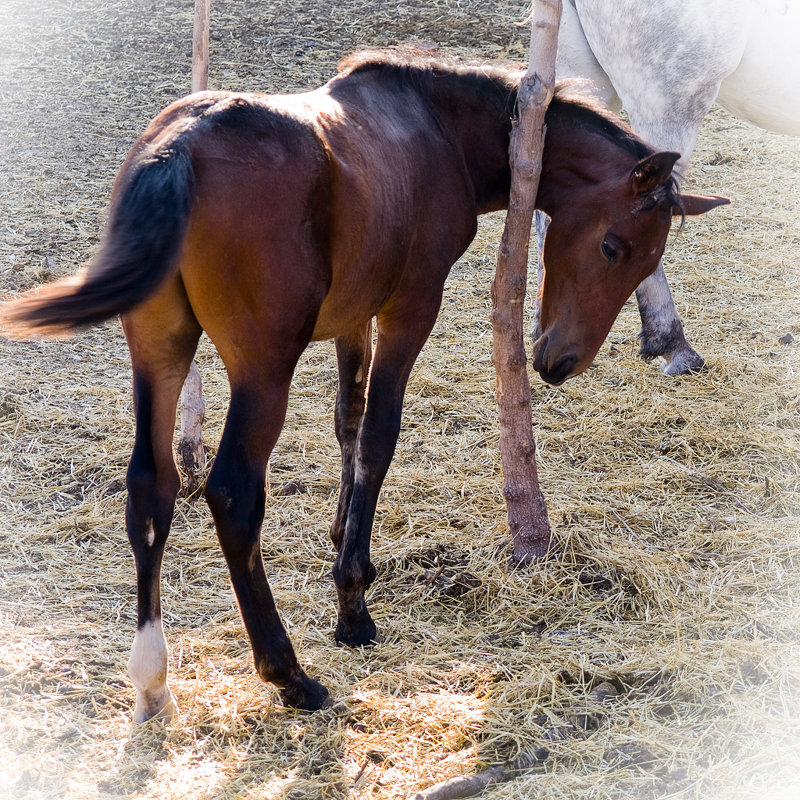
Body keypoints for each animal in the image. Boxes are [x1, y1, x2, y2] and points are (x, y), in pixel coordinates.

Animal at [0, 51, 728, 720]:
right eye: (612, 247)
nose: (560, 361)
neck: (440, 127)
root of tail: (176, 148)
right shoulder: (410, 306)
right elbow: (379, 434)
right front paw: (352, 601)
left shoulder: (354, 315)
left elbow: (347, 421)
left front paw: (340, 538)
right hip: (262, 365)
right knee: (232, 492)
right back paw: (288, 674)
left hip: (159, 346)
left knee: (152, 487)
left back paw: (153, 679)